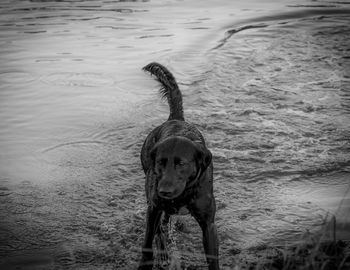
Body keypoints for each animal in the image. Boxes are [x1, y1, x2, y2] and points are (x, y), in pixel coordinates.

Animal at [139, 62, 219, 270]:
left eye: (181, 163)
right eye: (160, 163)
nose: (164, 191)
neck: (184, 193)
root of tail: (176, 119)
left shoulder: (208, 223)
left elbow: (212, 257)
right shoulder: (153, 208)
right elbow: (148, 243)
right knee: (159, 229)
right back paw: (163, 253)